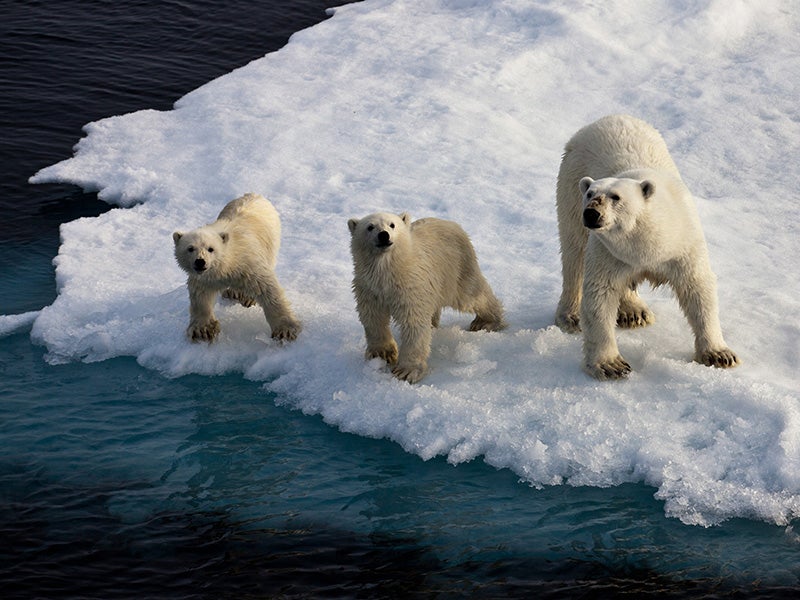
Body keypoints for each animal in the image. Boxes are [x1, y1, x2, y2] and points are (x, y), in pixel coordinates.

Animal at [173, 192, 302, 342]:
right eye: (190, 248)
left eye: (211, 249)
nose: (200, 262)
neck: (229, 262)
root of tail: (254, 194)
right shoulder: (205, 278)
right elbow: (200, 296)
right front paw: (203, 330)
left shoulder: (248, 264)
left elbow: (267, 289)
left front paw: (285, 330)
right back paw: (233, 293)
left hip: (271, 242)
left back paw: (245, 297)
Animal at [556, 114, 736, 378]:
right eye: (591, 194)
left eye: (616, 197)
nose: (591, 213)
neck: (650, 244)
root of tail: (604, 119)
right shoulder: (608, 252)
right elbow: (600, 294)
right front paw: (611, 365)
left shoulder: (684, 245)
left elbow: (698, 288)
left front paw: (719, 354)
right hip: (570, 186)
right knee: (573, 252)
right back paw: (571, 315)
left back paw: (634, 312)